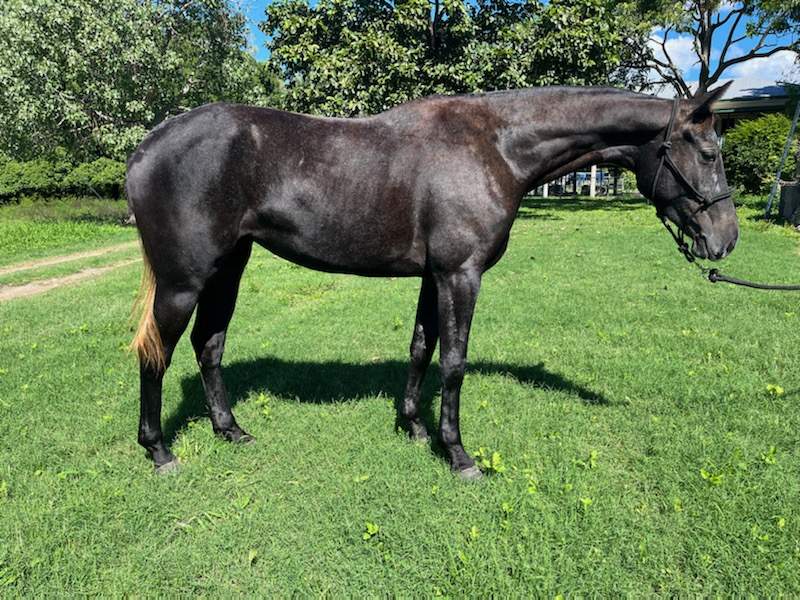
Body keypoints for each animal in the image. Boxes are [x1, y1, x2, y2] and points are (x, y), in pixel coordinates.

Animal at [127, 82, 738, 478]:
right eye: (708, 152)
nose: (726, 239)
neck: (497, 145)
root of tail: (145, 150)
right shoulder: (459, 274)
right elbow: (454, 361)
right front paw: (459, 454)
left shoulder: (432, 276)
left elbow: (422, 347)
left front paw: (414, 427)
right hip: (183, 282)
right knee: (156, 352)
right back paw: (158, 451)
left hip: (227, 270)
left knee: (208, 346)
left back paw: (230, 429)